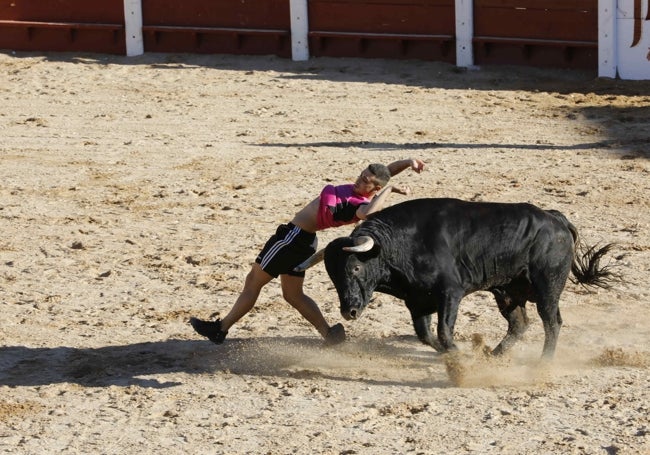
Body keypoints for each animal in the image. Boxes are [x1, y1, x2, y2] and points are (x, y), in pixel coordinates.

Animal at [296, 200, 616, 360]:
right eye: (332, 276)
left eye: (355, 269)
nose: (348, 311)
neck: (399, 244)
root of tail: (555, 219)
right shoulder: (417, 301)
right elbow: (426, 336)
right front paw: (461, 357)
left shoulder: (450, 292)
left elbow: (443, 332)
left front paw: (460, 356)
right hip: (508, 292)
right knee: (519, 324)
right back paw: (492, 356)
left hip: (547, 287)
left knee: (552, 323)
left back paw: (544, 362)